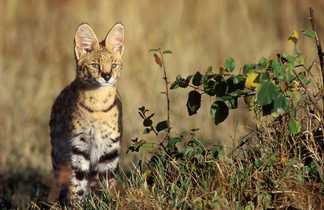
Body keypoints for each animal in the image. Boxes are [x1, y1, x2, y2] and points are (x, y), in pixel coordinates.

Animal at [48, 22, 124, 202]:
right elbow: (77, 181)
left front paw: (108, 201)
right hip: (58, 153)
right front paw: (76, 203)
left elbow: (108, 178)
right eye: (95, 65)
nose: (107, 76)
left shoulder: (110, 147)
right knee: (58, 180)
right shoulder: (79, 145)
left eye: (114, 65)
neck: (98, 106)